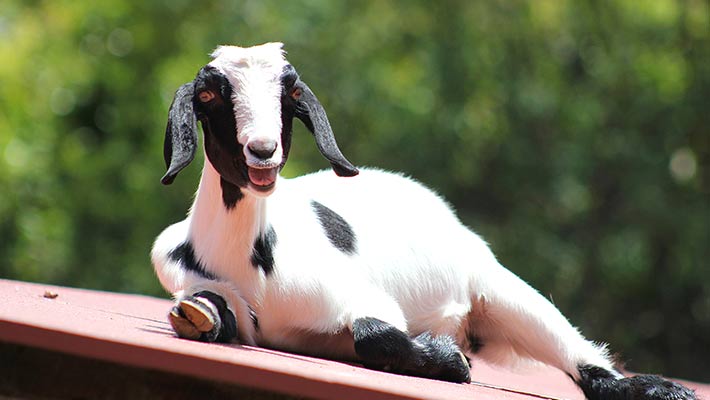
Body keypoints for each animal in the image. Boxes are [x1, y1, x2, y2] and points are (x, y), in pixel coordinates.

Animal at [153, 43, 700, 400]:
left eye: (289, 96)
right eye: (209, 97)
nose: (262, 152)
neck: (254, 262)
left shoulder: (358, 295)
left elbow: (374, 333)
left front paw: (449, 360)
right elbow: (209, 311)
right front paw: (204, 316)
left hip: (494, 283)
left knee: (582, 358)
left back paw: (661, 390)